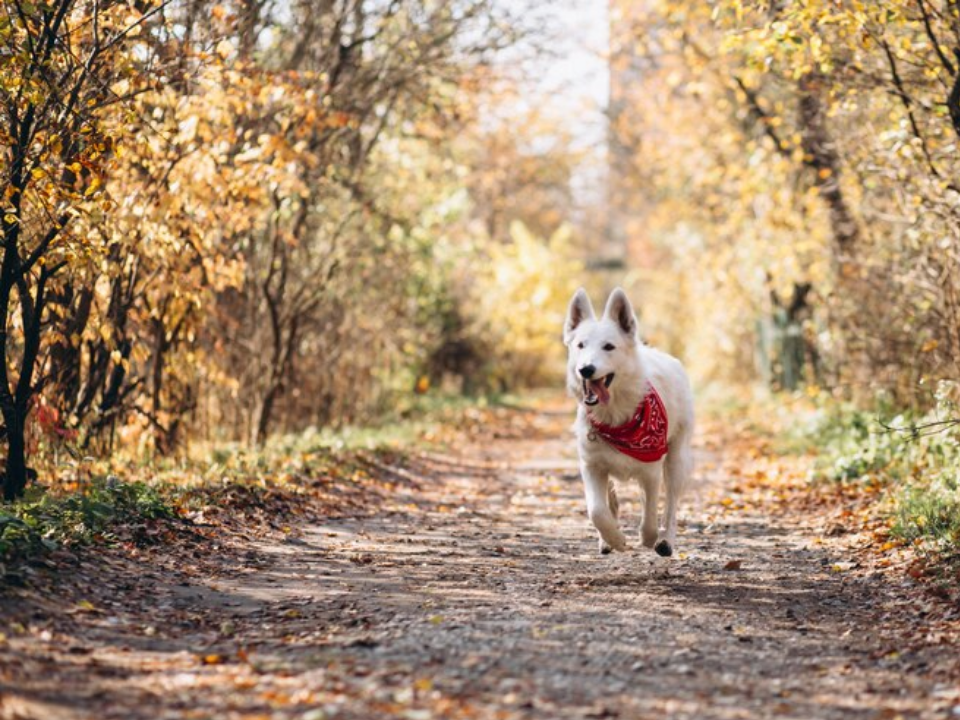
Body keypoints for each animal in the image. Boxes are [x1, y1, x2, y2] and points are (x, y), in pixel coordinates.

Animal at [564, 286, 688, 556]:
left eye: (609, 347)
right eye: (580, 345)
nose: (586, 369)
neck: (615, 416)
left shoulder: (651, 469)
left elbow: (650, 515)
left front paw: (649, 539)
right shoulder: (591, 466)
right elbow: (597, 511)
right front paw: (615, 539)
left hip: (676, 460)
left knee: (670, 505)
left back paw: (666, 541)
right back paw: (606, 541)